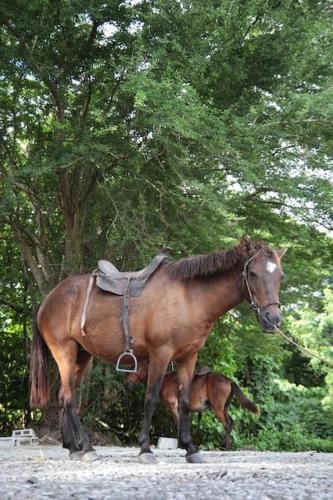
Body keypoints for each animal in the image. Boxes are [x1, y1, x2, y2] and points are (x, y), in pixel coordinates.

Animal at [127, 364, 260, 450]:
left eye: (138, 367)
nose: (127, 380)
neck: (165, 381)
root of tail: (229, 380)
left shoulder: (173, 406)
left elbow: (178, 423)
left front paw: (181, 445)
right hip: (224, 408)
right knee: (231, 422)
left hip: (218, 408)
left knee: (227, 424)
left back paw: (226, 447)